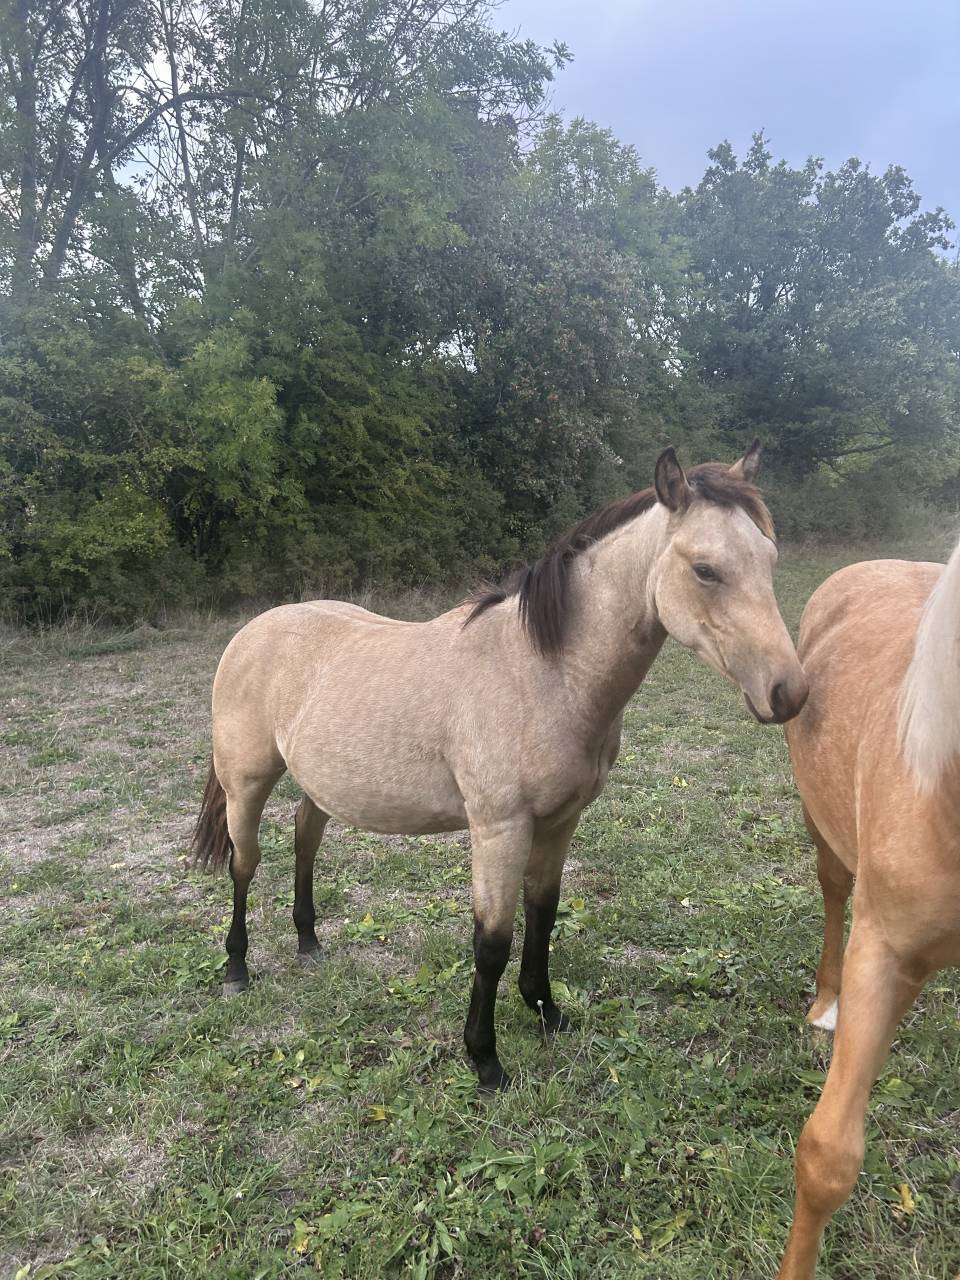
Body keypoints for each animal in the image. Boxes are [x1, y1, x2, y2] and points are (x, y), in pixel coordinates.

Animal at [192, 442, 809, 1090]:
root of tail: (253, 630)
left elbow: (544, 913)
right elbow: (492, 941)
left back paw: (309, 941)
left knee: (305, 841)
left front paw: (545, 1010)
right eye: (705, 570)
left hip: (321, 786)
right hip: (246, 784)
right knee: (244, 864)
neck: (543, 671)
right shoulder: (499, 828)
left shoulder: (560, 821)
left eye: (769, 558)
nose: (788, 692)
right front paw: (485, 1059)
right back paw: (236, 969)